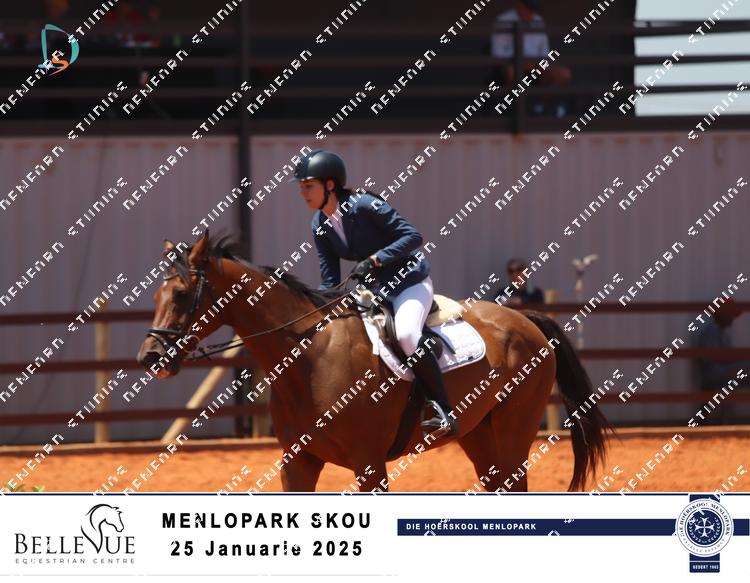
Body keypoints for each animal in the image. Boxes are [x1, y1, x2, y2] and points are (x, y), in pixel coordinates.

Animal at [136, 231, 612, 492]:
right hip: (479, 432)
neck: (308, 360)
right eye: (157, 294)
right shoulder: (298, 462)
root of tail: (525, 319)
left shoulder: (369, 465)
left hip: (514, 429)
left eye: (182, 295)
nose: (150, 357)